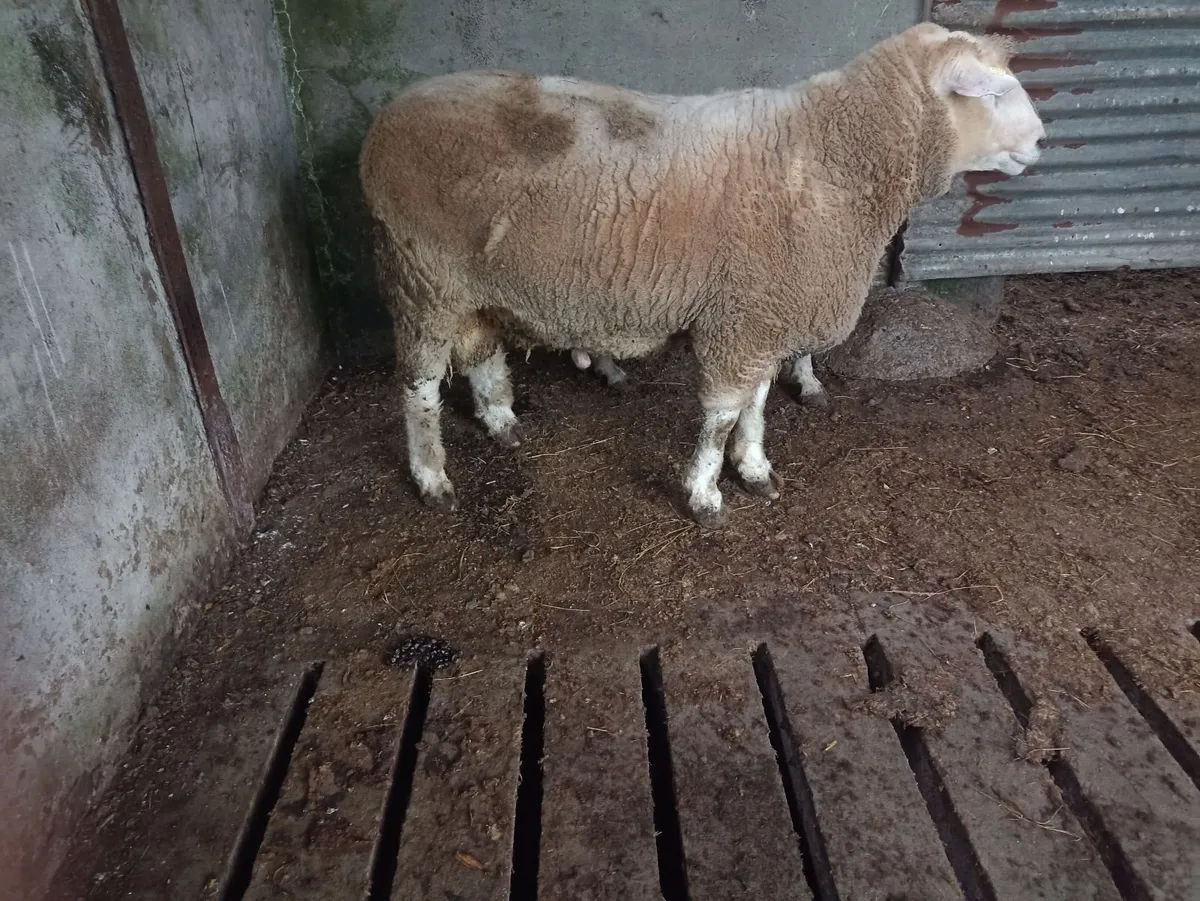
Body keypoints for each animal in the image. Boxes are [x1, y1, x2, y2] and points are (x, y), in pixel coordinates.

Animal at [360, 22, 1044, 528]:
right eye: (992, 94)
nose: (1041, 142)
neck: (832, 155)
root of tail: (385, 123)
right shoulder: (743, 317)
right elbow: (720, 415)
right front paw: (705, 493)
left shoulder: (763, 312)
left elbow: (757, 402)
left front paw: (755, 466)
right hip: (421, 277)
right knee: (419, 388)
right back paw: (432, 477)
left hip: (469, 283)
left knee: (479, 350)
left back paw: (502, 422)